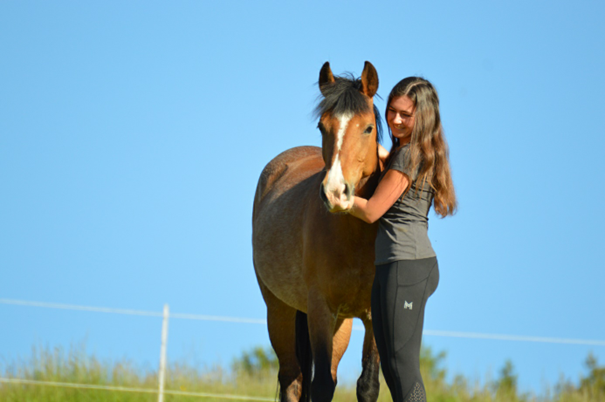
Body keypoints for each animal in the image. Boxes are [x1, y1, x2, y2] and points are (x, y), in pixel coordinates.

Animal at [250, 61, 382, 402]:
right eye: (323, 126)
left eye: (368, 128)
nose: (335, 192)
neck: (357, 238)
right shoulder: (321, 310)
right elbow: (321, 384)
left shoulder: (374, 316)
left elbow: (367, 385)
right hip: (279, 311)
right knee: (292, 379)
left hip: (342, 324)